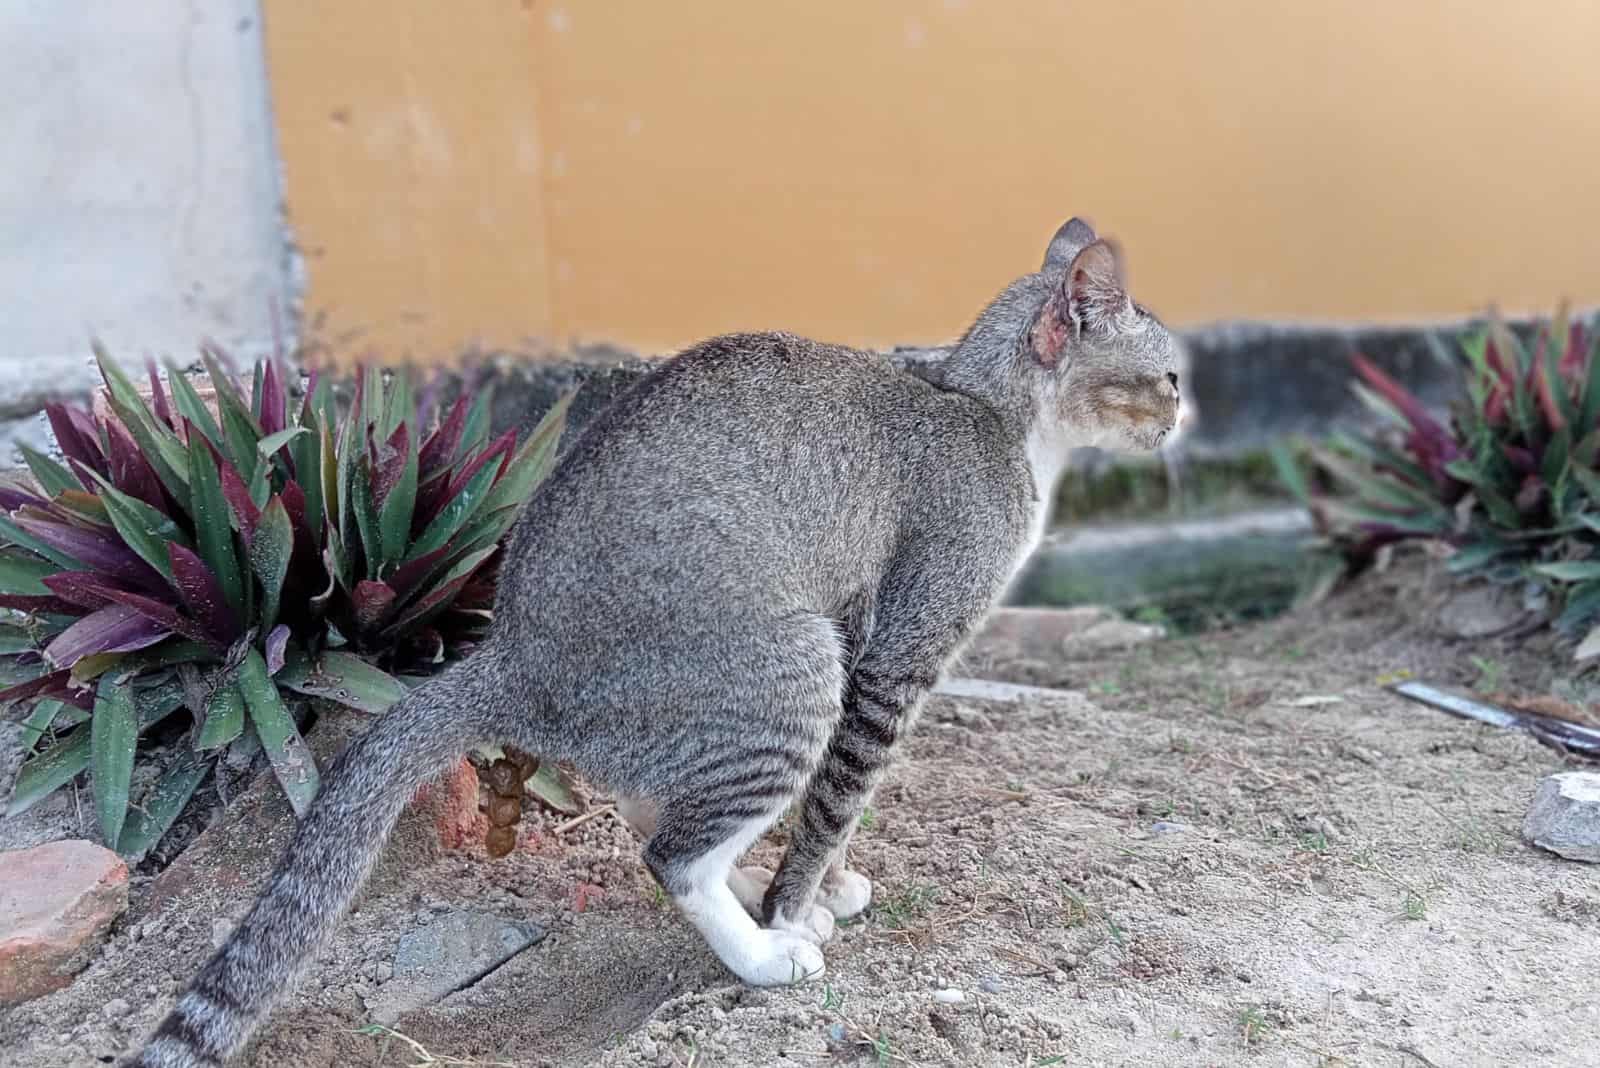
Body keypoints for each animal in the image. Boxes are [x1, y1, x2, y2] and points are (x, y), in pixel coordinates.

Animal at [137, 217, 1184, 1068]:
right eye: (1170, 376)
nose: (1184, 414)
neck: (994, 415)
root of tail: (514, 652)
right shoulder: (896, 654)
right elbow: (841, 795)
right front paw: (795, 906)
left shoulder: (869, 643)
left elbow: (834, 805)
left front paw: (821, 883)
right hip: (790, 667)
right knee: (673, 853)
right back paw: (761, 951)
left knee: (662, 809)